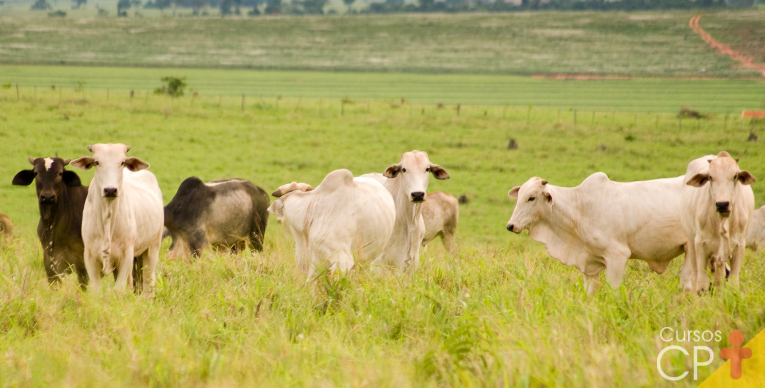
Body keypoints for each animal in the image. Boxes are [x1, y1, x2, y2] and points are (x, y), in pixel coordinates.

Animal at [71, 145, 163, 294]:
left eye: (122, 162)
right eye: (96, 162)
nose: (110, 190)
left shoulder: (126, 256)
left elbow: (118, 289)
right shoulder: (90, 256)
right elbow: (97, 291)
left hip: (152, 247)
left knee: (148, 282)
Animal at [508, 173, 688, 294]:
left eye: (531, 198)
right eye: (519, 196)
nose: (510, 226)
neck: (579, 209)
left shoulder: (618, 256)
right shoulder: (590, 268)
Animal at [680, 153, 752, 292]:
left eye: (735, 176)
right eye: (710, 177)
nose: (722, 204)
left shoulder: (739, 245)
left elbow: (733, 283)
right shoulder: (700, 244)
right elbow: (702, 283)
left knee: (719, 276)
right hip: (691, 243)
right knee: (695, 276)